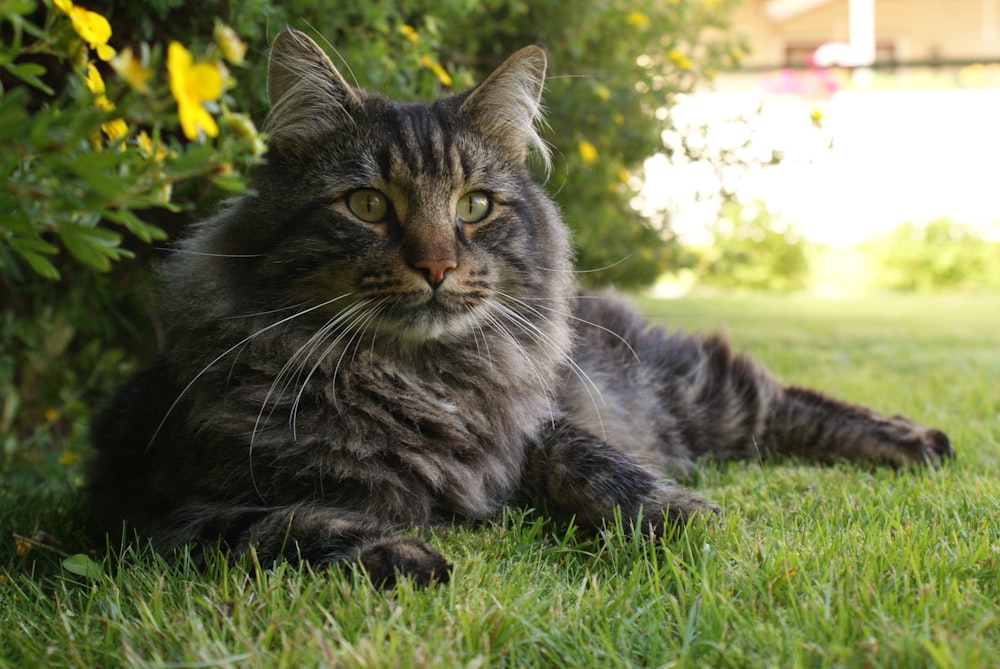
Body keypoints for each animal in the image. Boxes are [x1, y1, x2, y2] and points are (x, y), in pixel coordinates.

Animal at [86, 28, 952, 588]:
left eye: (474, 205)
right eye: (367, 205)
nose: (436, 265)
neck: (420, 379)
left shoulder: (539, 425)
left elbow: (600, 464)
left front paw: (680, 515)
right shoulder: (154, 513)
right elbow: (272, 526)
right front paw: (396, 551)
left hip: (693, 391)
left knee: (781, 399)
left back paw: (917, 440)